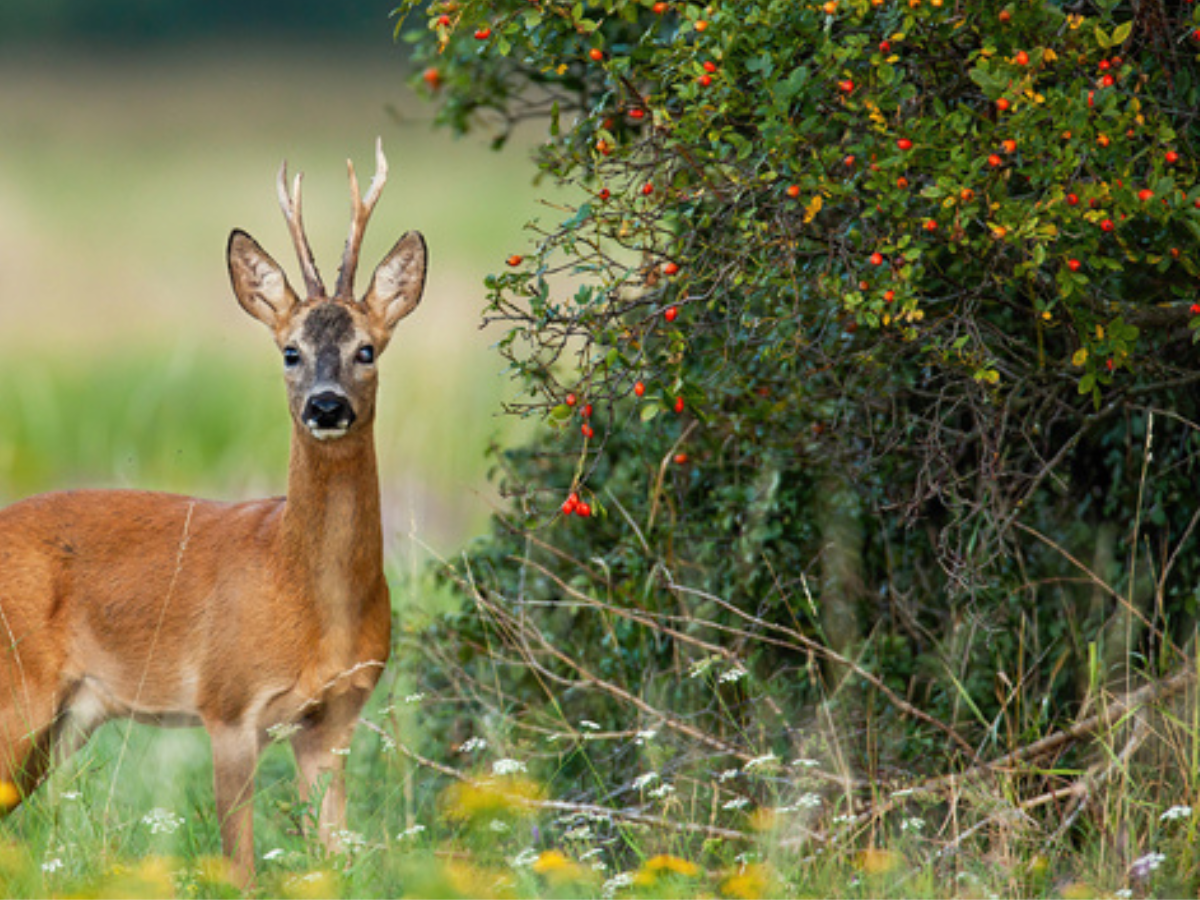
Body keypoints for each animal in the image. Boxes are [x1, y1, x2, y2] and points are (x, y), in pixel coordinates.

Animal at [0, 137, 427, 883]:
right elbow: (242, 865)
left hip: (62, 720)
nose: (326, 406)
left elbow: (332, 857)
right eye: (290, 351)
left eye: (366, 349)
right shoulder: (227, 706)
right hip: (16, 688)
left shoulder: (334, 718)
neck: (304, 593)